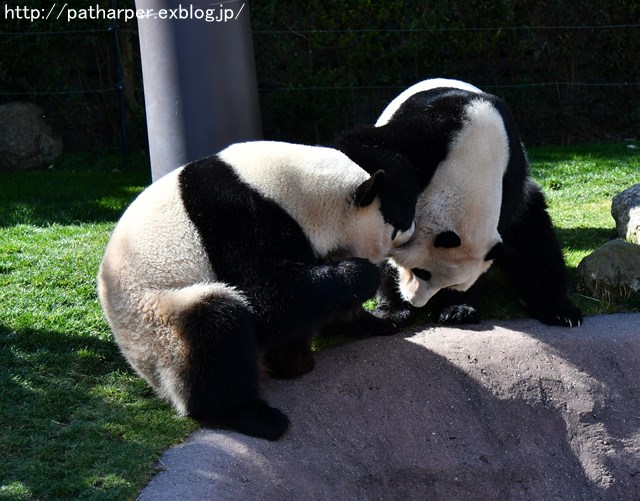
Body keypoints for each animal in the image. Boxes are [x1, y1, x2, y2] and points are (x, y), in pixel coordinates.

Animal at [95, 139, 416, 440]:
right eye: (395, 227)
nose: (410, 240)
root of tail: (142, 368)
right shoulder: (236, 217)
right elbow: (267, 295)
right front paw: (363, 274)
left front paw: (376, 322)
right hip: (158, 322)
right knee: (215, 326)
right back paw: (252, 414)